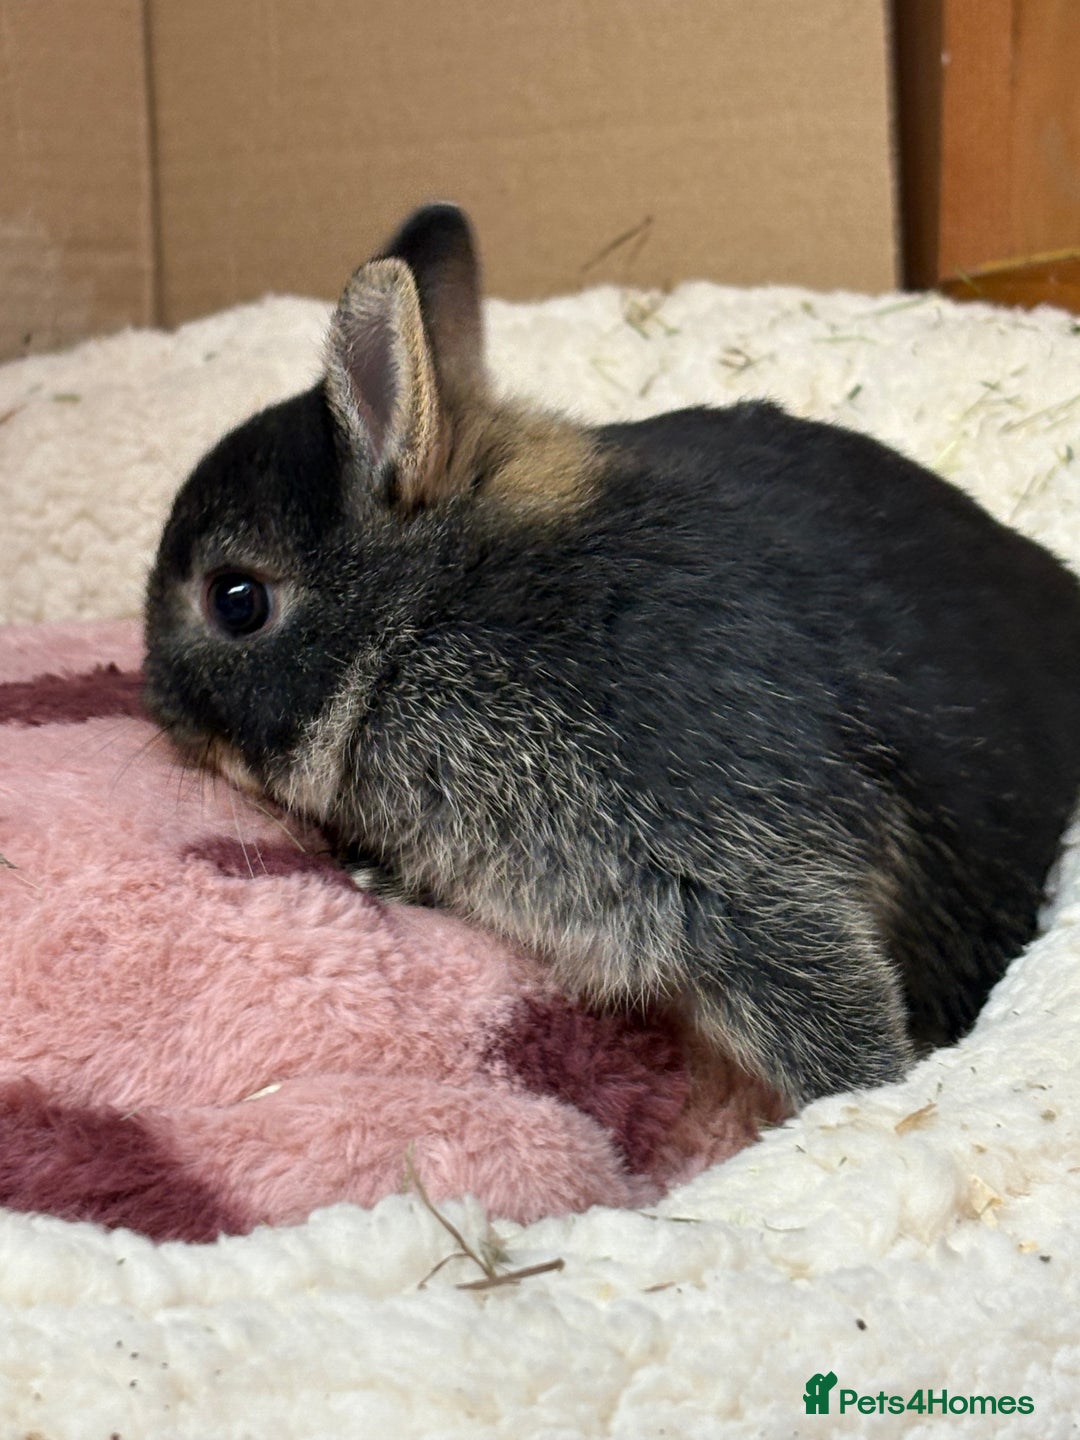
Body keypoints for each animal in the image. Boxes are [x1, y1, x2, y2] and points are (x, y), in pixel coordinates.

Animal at [144, 203, 1080, 1110]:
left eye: (236, 600)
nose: (154, 700)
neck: (427, 613)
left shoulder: (732, 871)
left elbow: (826, 999)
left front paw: (865, 1101)